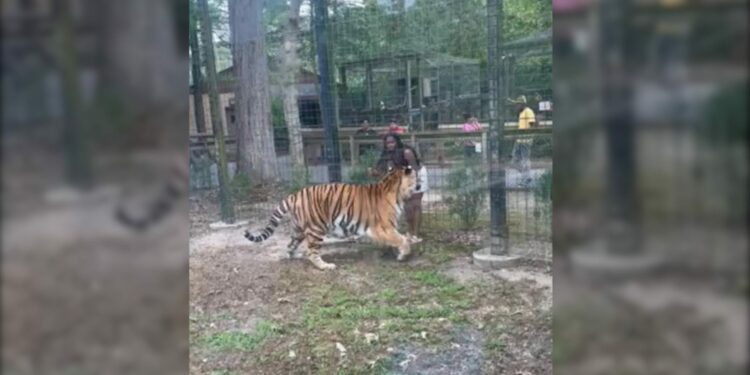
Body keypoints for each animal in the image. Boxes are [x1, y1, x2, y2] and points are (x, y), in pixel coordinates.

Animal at [248, 165, 420, 270]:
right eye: (416, 177)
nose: (420, 184)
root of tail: (295, 195)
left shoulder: (386, 229)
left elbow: (399, 238)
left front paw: (396, 252)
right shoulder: (383, 227)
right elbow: (401, 239)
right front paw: (404, 254)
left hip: (298, 230)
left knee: (291, 245)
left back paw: (295, 255)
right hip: (316, 229)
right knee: (312, 252)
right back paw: (325, 266)